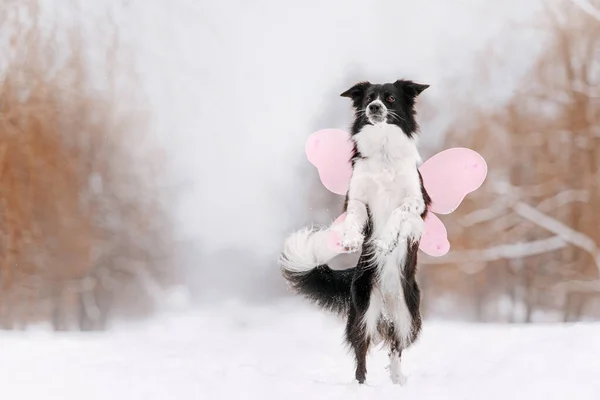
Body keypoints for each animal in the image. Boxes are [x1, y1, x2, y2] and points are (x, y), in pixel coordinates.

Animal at [278, 79, 428, 384]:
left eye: (390, 98)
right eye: (369, 98)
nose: (374, 107)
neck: (383, 149)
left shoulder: (418, 203)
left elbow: (400, 211)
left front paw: (386, 240)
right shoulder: (355, 197)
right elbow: (356, 215)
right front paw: (351, 238)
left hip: (407, 316)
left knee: (396, 347)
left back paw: (397, 381)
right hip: (364, 311)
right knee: (361, 355)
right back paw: (361, 386)